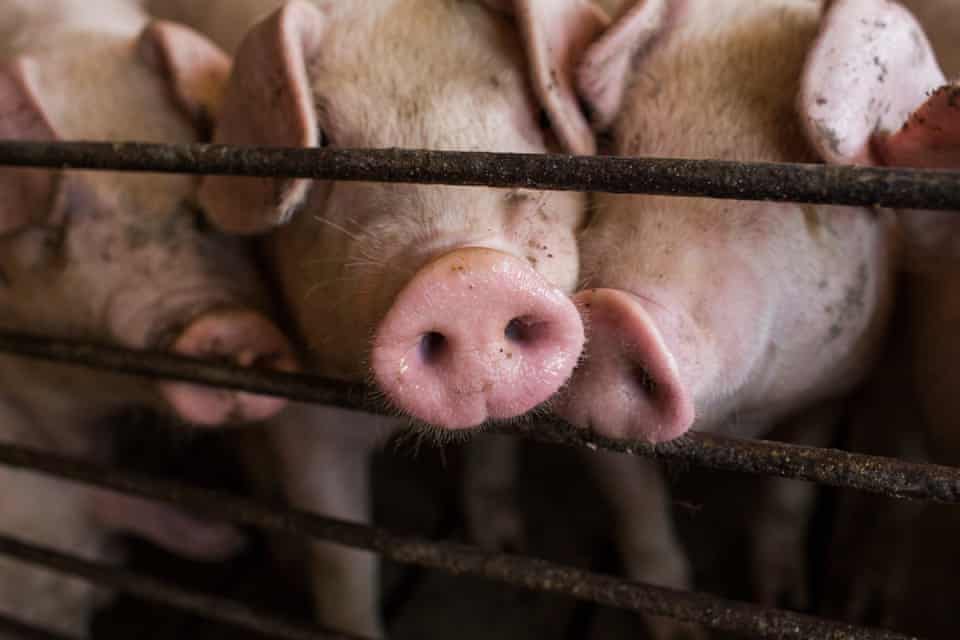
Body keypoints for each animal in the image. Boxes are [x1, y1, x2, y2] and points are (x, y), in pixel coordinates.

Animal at [145, 0, 663, 636]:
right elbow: (341, 563)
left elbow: (630, 485)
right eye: (325, 144)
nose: (467, 278)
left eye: (540, 116)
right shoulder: (302, 413)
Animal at [549, 0, 957, 636]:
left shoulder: (829, 390)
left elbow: (790, 499)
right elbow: (638, 516)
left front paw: (786, 601)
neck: (742, 423)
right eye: (619, 148)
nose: (613, 308)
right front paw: (682, 627)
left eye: (805, 194)